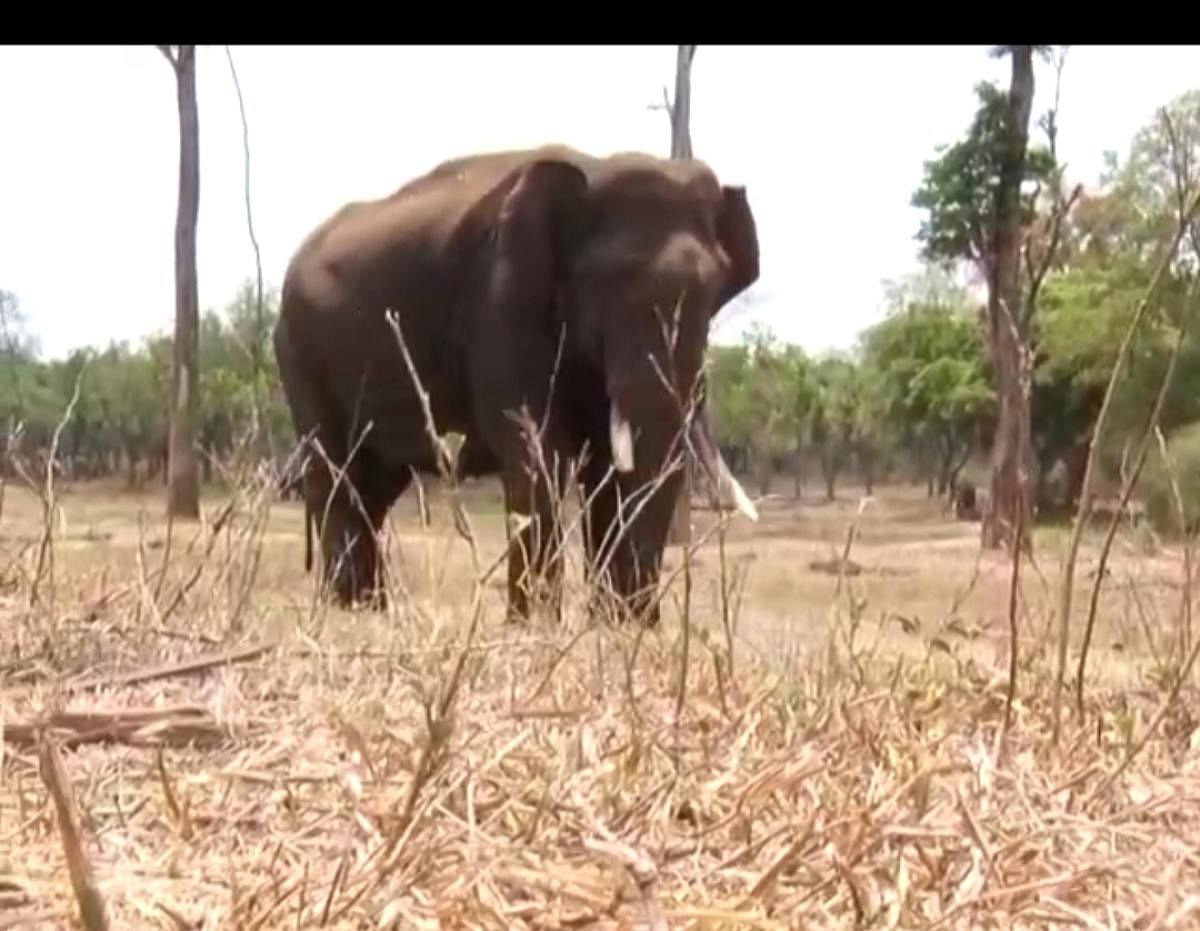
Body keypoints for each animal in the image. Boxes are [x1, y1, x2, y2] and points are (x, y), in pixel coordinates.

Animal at [273, 143, 758, 623]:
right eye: (611, 284)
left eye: (714, 289)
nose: (640, 621)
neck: (593, 169)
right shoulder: (500, 303)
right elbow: (538, 448)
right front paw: (536, 628)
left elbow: (612, 464)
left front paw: (618, 630)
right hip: (298, 351)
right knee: (337, 474)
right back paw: (350, 613)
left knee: (374, 488)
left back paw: (369, 612)